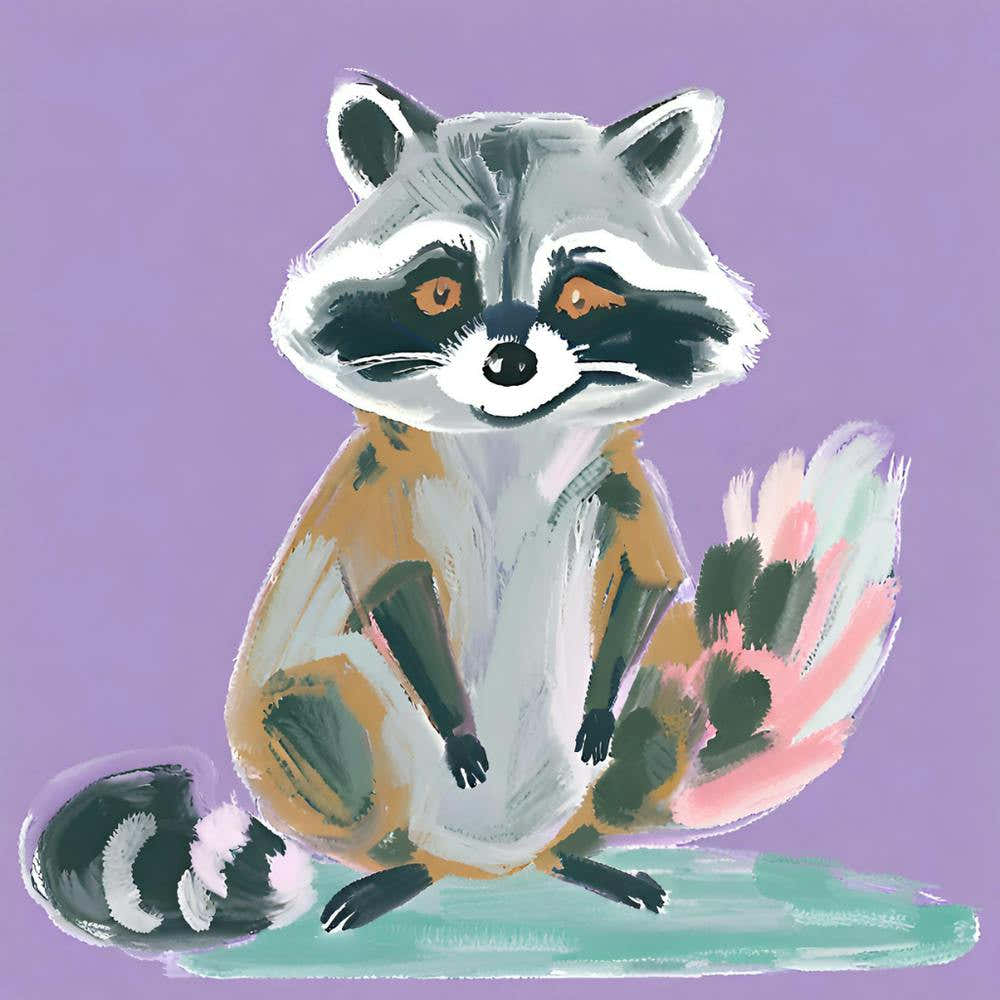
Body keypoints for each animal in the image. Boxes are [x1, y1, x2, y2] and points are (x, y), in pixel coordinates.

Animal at [23, 75, 905, 944]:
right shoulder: (381, 488)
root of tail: (492, 862)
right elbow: (391, 587)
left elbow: (649, 578)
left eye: (580, 293)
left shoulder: (619, 478)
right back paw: (398, 866)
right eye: (442, 288)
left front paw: (601, 696)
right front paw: (455, 720)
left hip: (597, 777)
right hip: (334, 731)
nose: (509, 362)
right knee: (314, 702)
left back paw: (580, 857)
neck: (511, 443)